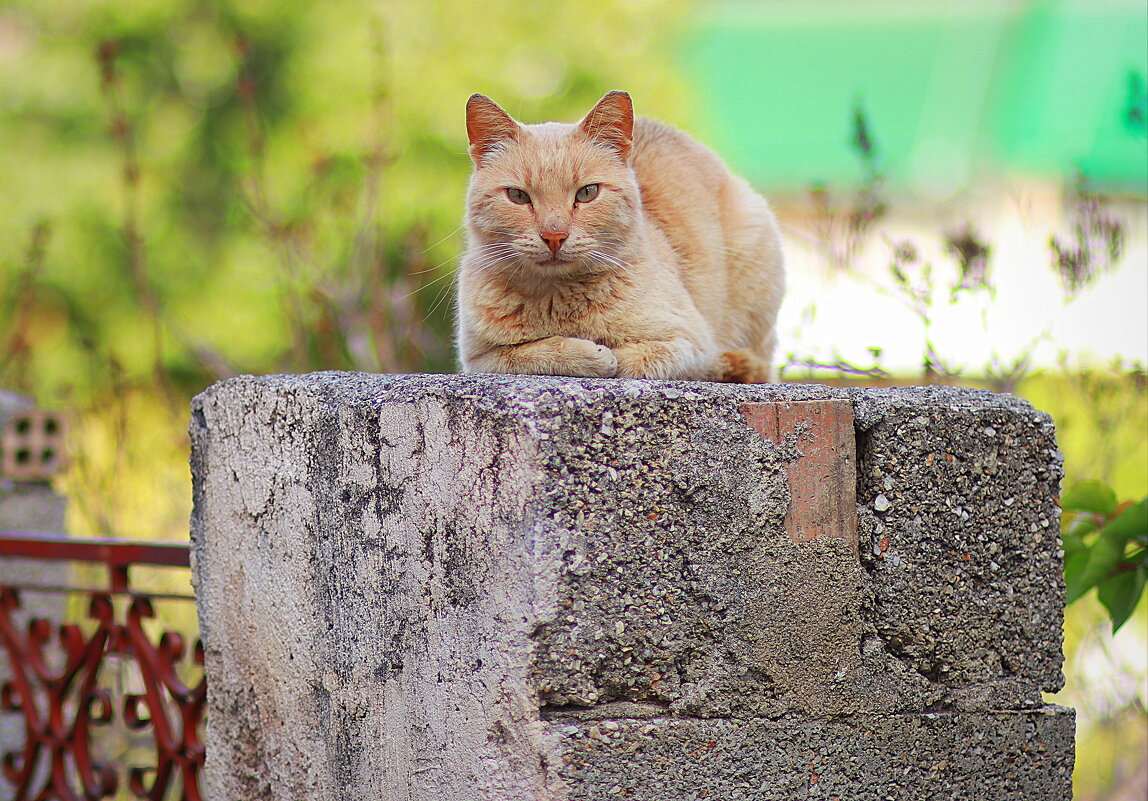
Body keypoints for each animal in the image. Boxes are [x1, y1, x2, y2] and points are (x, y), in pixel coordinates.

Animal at [452, 90, 785, 380]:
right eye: (518, 196)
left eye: (587, 193)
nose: (554, 236)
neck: (558, 301)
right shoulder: (479, 360)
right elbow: (531, 353)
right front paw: (587, 354)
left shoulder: (689, 342)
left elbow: (636, 360)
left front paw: (605, 355)